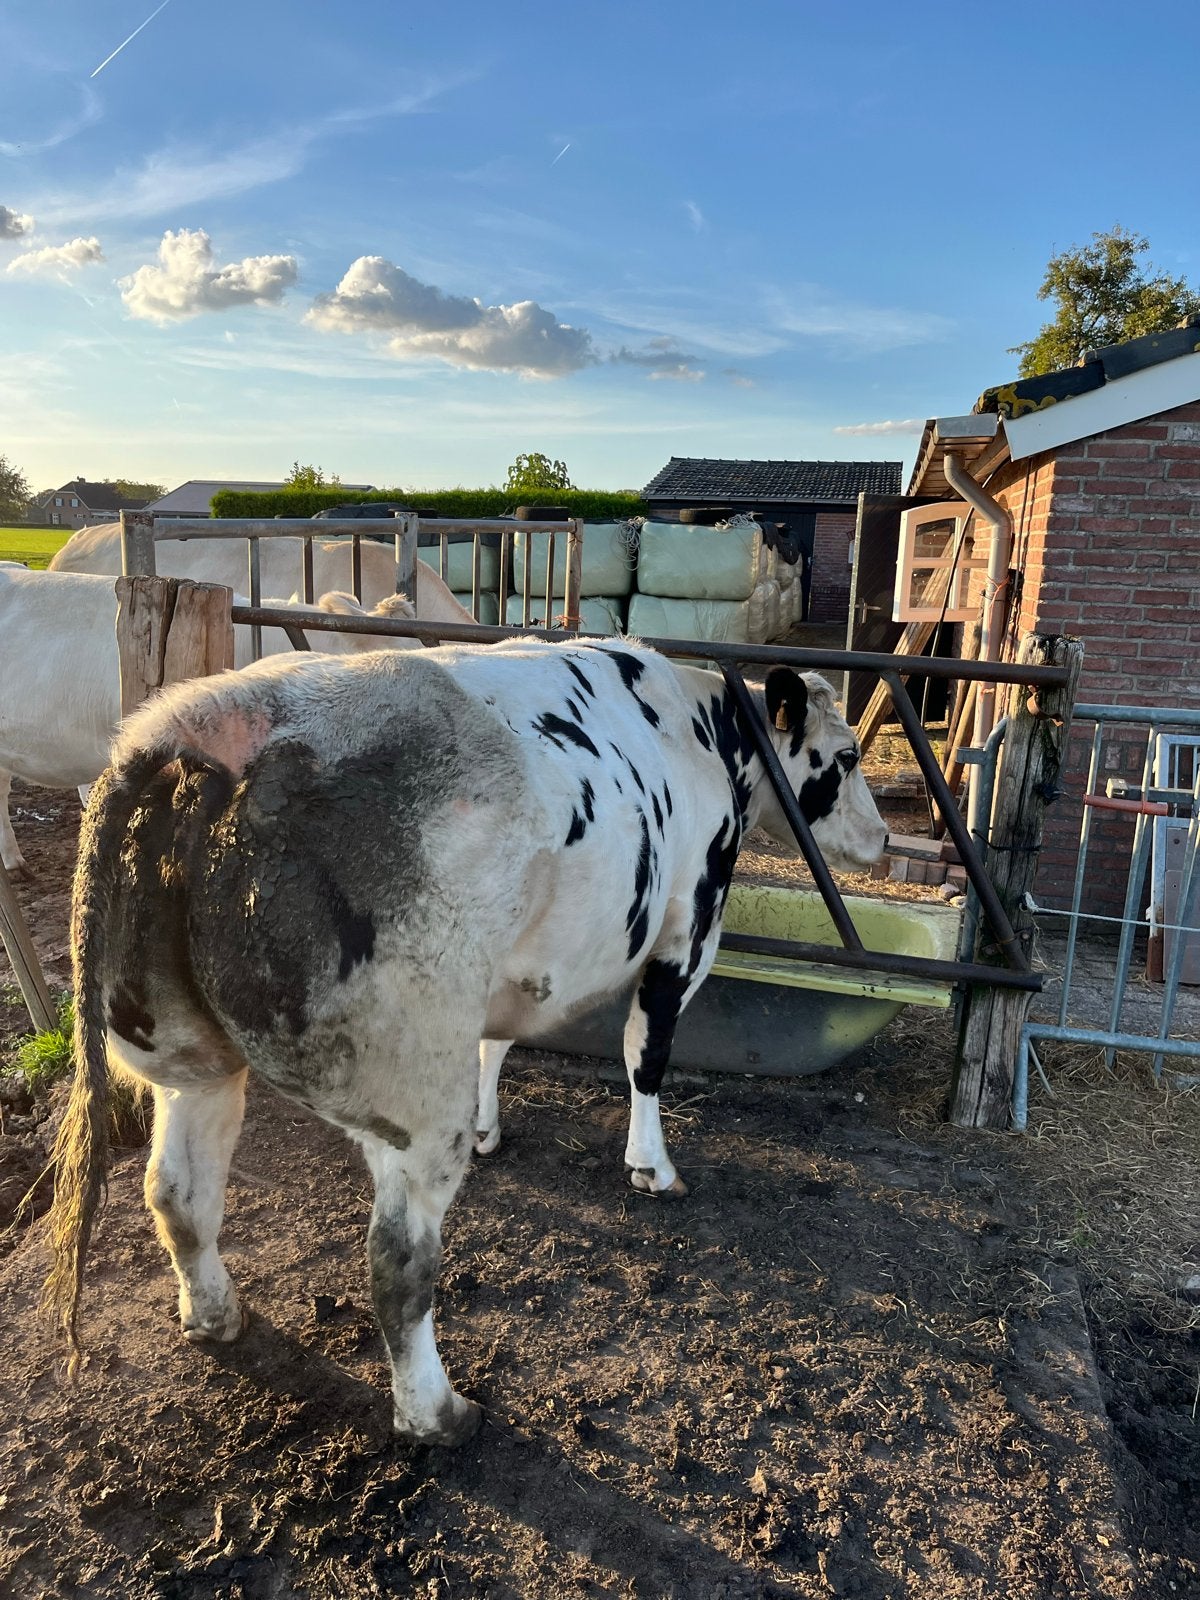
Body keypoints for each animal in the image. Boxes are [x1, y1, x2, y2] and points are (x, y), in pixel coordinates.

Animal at [45, 638, 886, 1445]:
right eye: (846, 757)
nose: (881, 837)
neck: (705, 728)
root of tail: (190, 728)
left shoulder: (511, 970)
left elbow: (497, 1046)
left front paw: (492, 1127)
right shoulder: (689, 924)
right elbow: (646, 1053)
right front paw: (652, 1165)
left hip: (185, 1057)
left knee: (178, 1192)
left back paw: (216, 1315)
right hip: (410, 1086)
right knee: (397, 1263)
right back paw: (437, 1414)